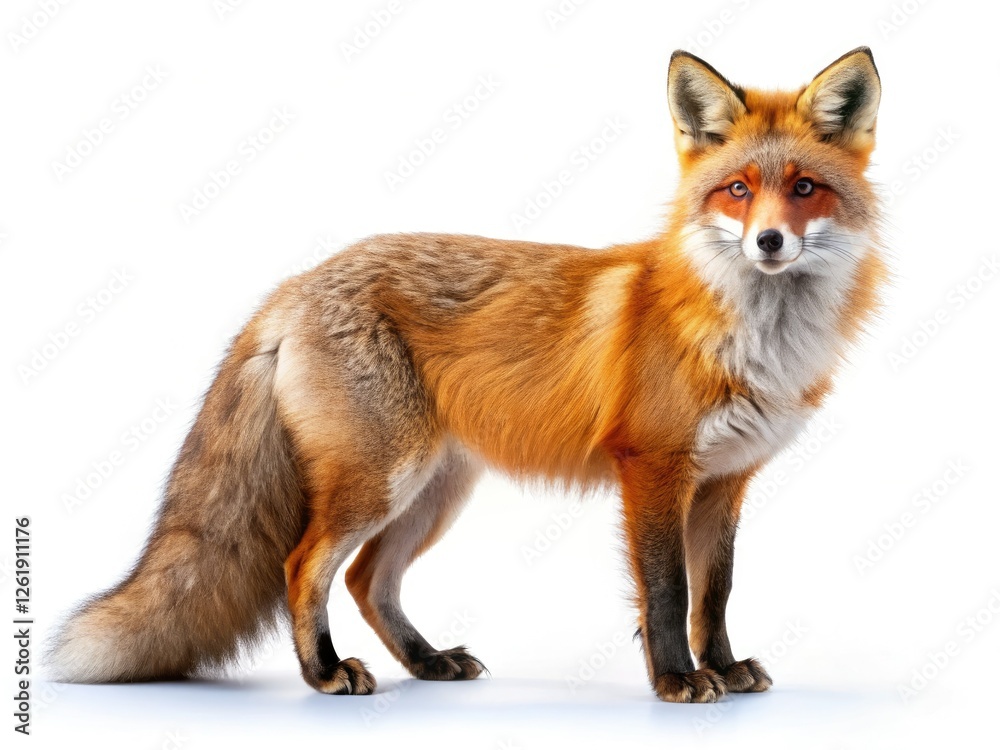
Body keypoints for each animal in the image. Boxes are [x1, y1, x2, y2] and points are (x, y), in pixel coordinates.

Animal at [48, 47, 886, 703]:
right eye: (738, 189)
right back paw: (324, 673)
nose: (770, 242)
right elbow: (668, 590)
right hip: (381, 479)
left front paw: (722, 667)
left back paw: (426, 661)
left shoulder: (723, 481)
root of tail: (298, 282)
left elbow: (714, 593)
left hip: (432, 492)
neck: (752, 338)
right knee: (304, 564)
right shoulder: (652, 467)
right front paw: (678, 679)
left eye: (803, 188)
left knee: (368, 581)